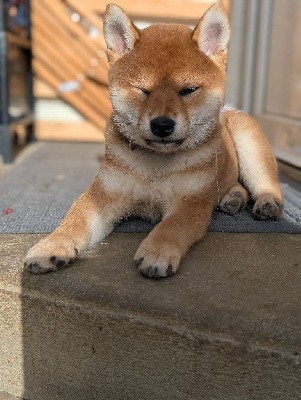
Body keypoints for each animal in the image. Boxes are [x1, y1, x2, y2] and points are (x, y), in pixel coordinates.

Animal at [24, 2, 282, 278]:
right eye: (142, 90)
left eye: (188, 90)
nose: (162, 125)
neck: (155, 166)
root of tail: (230, 111)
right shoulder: (104, 194)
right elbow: (75, 220)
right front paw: (50, 246)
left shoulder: (191, 201)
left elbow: (171, 227)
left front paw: (158, 252)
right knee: (236, 184)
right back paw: (233, 198)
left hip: (249, 145)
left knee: (265, 183)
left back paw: (267, 203)